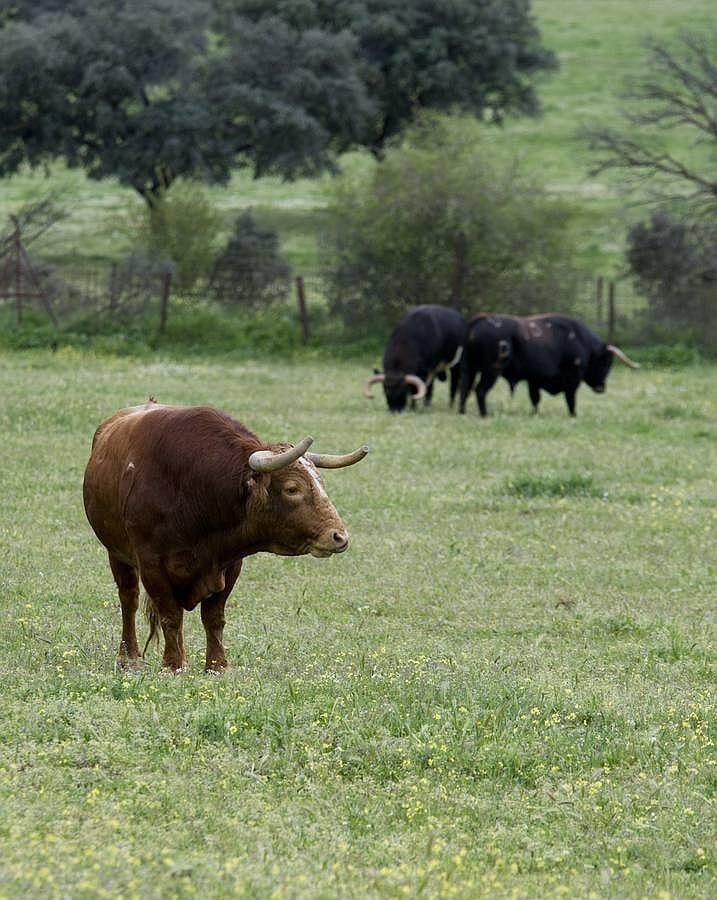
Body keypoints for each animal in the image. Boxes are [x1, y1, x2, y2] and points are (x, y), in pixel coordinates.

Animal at [82, 400, 370, 668]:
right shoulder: (152, 564)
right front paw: (173, 664)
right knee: (128, 599)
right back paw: (128, 656)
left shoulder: (229, 564)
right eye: (292, 488)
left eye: (321, 483)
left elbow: (213, 618)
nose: (339, 537)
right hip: (117, 554)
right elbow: (170, 615)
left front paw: (216, 665)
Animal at [458, 312, 636, 418]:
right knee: (480, 390)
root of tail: (480, 320)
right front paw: (573, 415)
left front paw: (534, 414)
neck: (580, 340)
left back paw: (462, 412)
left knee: (465, 388)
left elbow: (535, 399)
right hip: (491, 371)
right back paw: (484, 414)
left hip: (470, 369)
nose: (601, 388)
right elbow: (571, 399)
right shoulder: (572, 379)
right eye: (606, 364)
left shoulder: (534, 381)